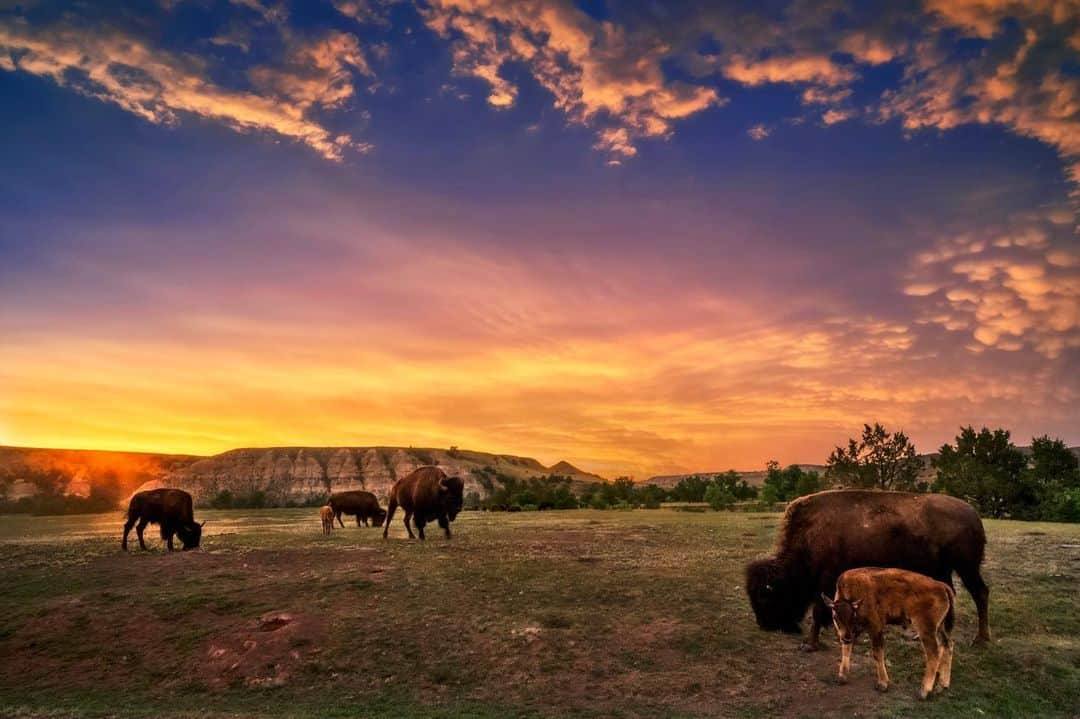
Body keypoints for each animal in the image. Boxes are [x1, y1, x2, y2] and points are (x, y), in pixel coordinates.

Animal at [743, 490, 989, 647]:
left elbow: (818, 611)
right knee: (949, 594)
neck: (810, 535)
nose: (765, 625)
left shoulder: (826, 580)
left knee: (980, 593)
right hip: (942, 570)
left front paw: (810, 644)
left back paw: (980, 640)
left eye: (765, 596)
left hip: (966, 567)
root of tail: (973, 514)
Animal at [825, 565, 954, 695]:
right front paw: (842, 677)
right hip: (940, 627)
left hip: (926, 630)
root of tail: (942, 586)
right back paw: (943, 684)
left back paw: (924, 691)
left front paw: (883, 684)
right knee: (947, 644)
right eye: (835, 617)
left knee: (933, 653)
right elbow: (846, 650)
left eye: (853, 616)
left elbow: (877, 654)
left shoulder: (875, 628)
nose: (845, 638)